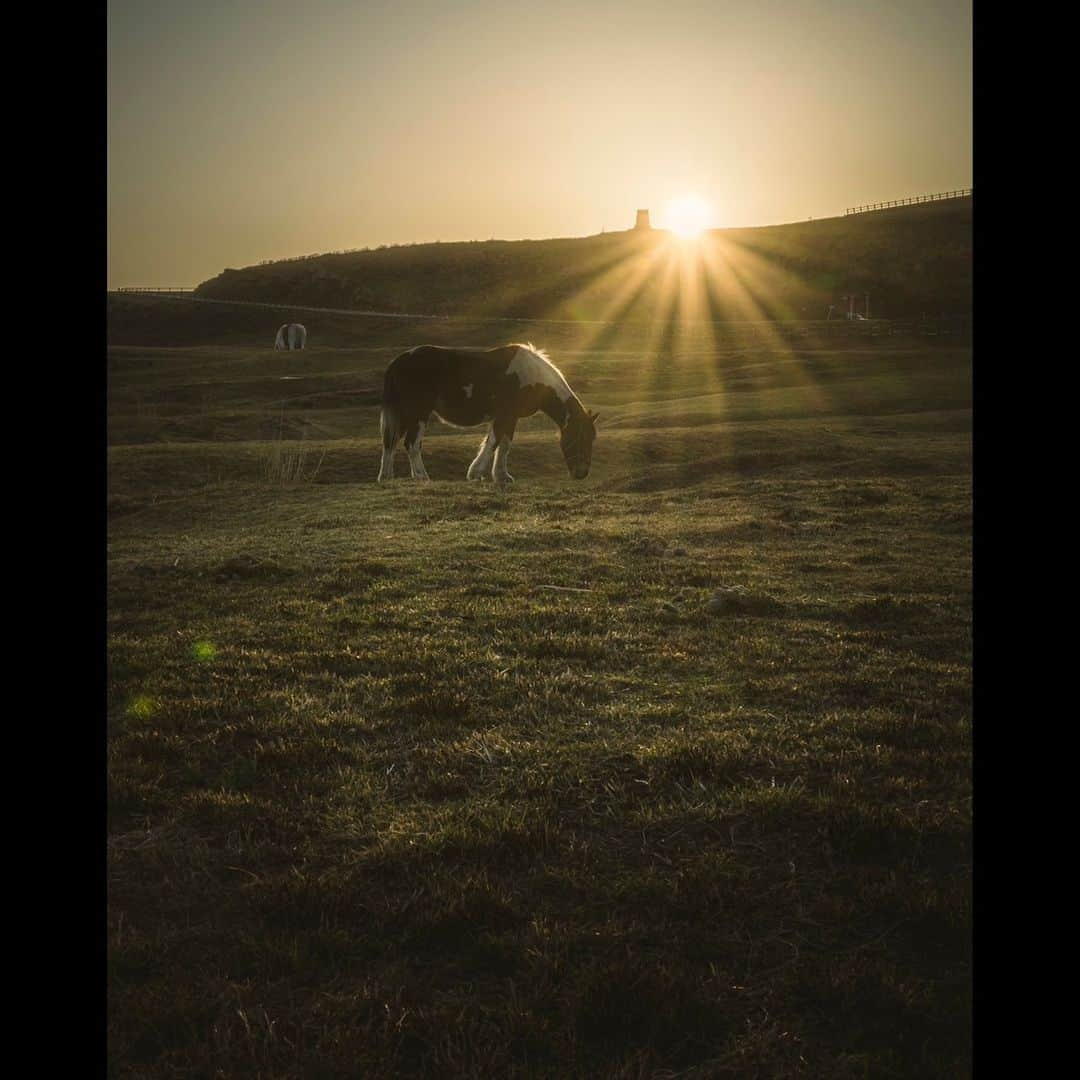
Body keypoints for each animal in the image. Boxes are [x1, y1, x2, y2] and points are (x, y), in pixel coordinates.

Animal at [378, 341, 600, 486]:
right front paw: (476, 473)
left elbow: (504, 445)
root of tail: (398, 362)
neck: (531, 377)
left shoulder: (511, 418)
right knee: (412, 443)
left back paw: (387, 477)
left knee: (391, 442)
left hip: (405, 413)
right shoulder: (503, 415)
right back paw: (422, 476)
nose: (582, 473)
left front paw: (502, 476)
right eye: (580, 436)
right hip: (419, 413)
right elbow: (493, 442)